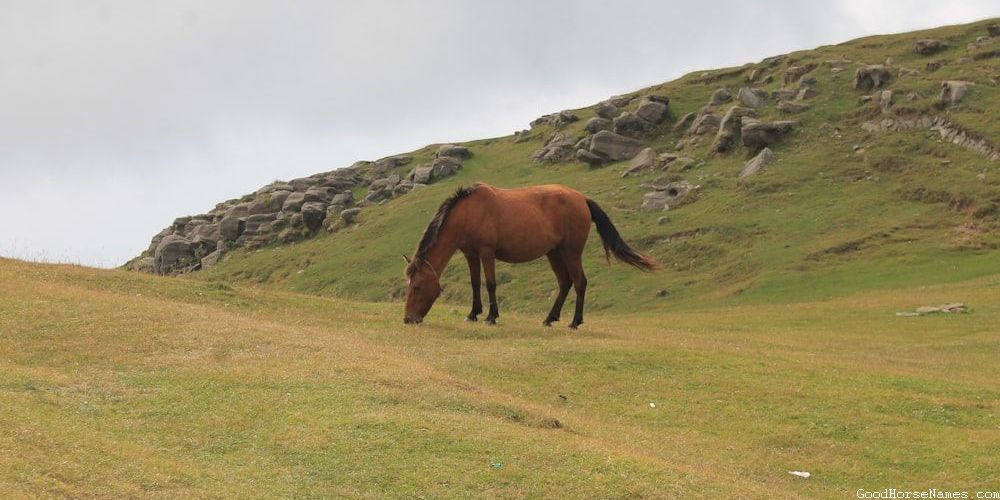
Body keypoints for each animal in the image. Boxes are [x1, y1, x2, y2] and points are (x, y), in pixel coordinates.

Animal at [403, 183, 660, 328]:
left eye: (416, 287)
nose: (408, 319)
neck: (469, 212)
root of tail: (582, 199)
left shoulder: (487, 252)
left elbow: (490, 284)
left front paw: (491, 317)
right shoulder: (471, 255)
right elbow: (475, 284)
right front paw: (473, 314)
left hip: (571, 253)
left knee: (579, 282)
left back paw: (575, 321)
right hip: (554, 254)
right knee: (565, 283)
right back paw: (549, 318)